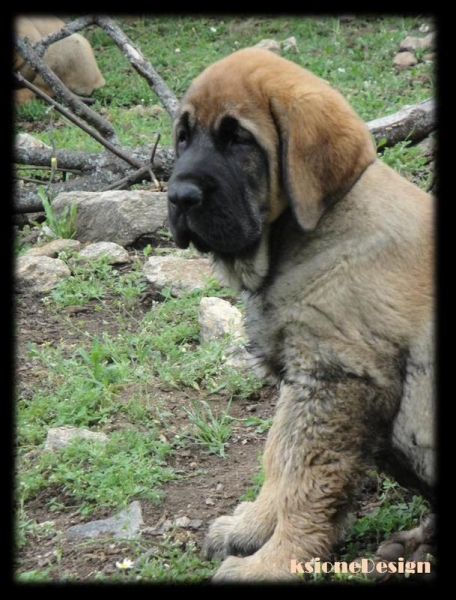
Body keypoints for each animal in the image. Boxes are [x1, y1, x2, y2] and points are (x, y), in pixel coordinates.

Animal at [167, 47, 434, 580]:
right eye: (183, 136)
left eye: (239, 140)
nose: (179, 197)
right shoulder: (303, 374)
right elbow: (279, 455)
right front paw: (252, 526)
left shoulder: (337, 378)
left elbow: (305, 480)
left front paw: (275, 561)